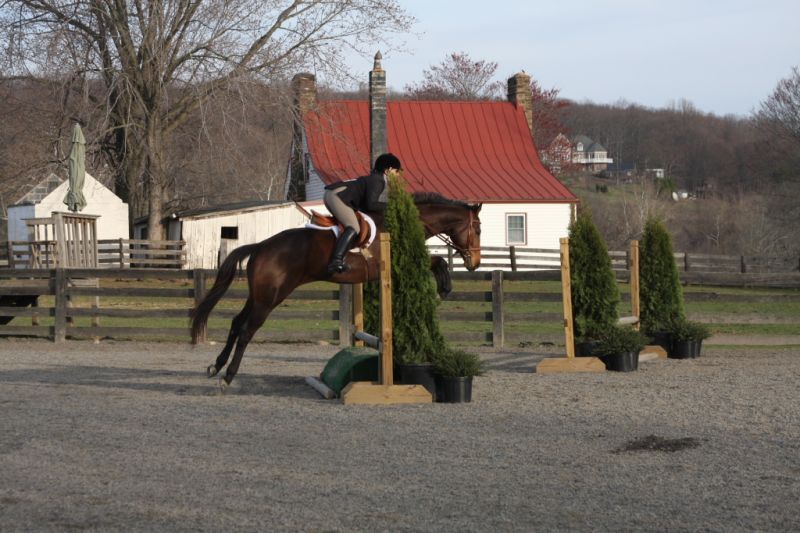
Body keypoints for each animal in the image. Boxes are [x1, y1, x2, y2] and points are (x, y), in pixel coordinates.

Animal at [190, 192, 482, 389]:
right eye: (478, 228)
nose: (475, 263)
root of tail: (261, 246)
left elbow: (436, 260)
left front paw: (444, 288)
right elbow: (438, 260)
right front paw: (444, 289)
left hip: (259, 295)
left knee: (236, 323)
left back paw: (216, 366)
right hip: (270, 298)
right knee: (246, 331)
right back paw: (228, 376)